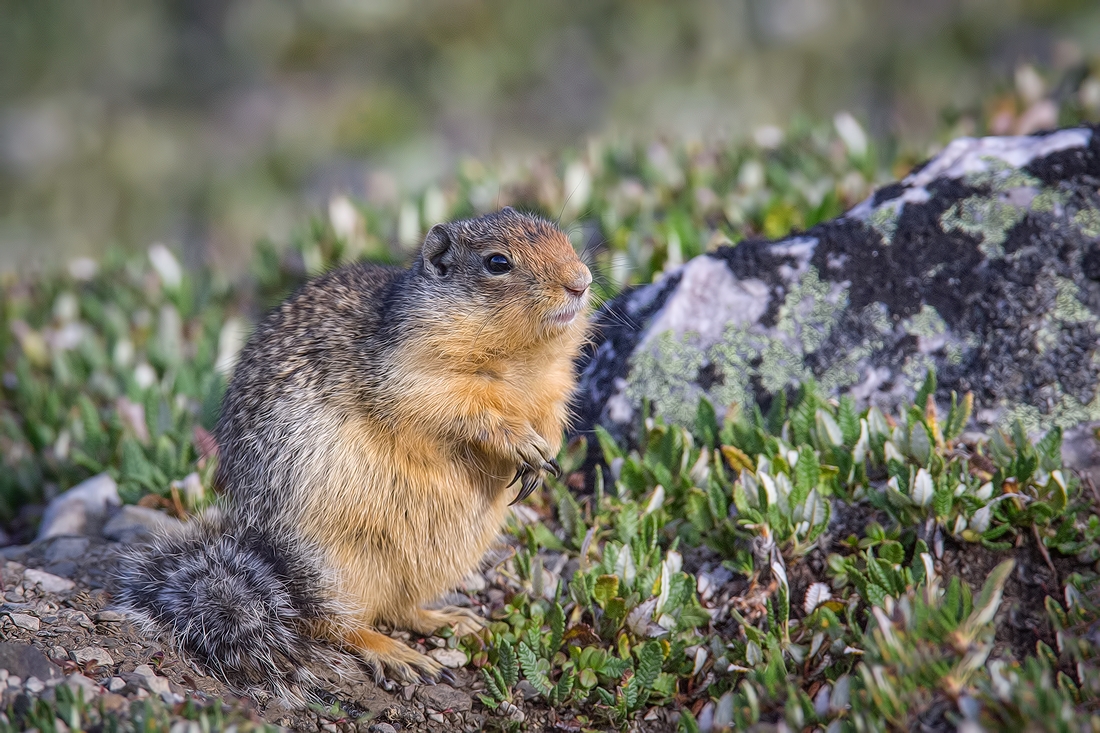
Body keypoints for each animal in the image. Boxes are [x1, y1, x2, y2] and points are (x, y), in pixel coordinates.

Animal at [112, 208, 594, 699]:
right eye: (498, 263)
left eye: (561, 237)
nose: (581, 281)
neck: (521, 361)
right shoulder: (417, 374)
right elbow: (462, 409)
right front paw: (522, 443)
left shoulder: (556, 382)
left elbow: (552, 415)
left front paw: (546, 453)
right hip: (328, 565)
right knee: (333, 623)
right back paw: (396, 653)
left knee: (400, 609)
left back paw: (454, 620)